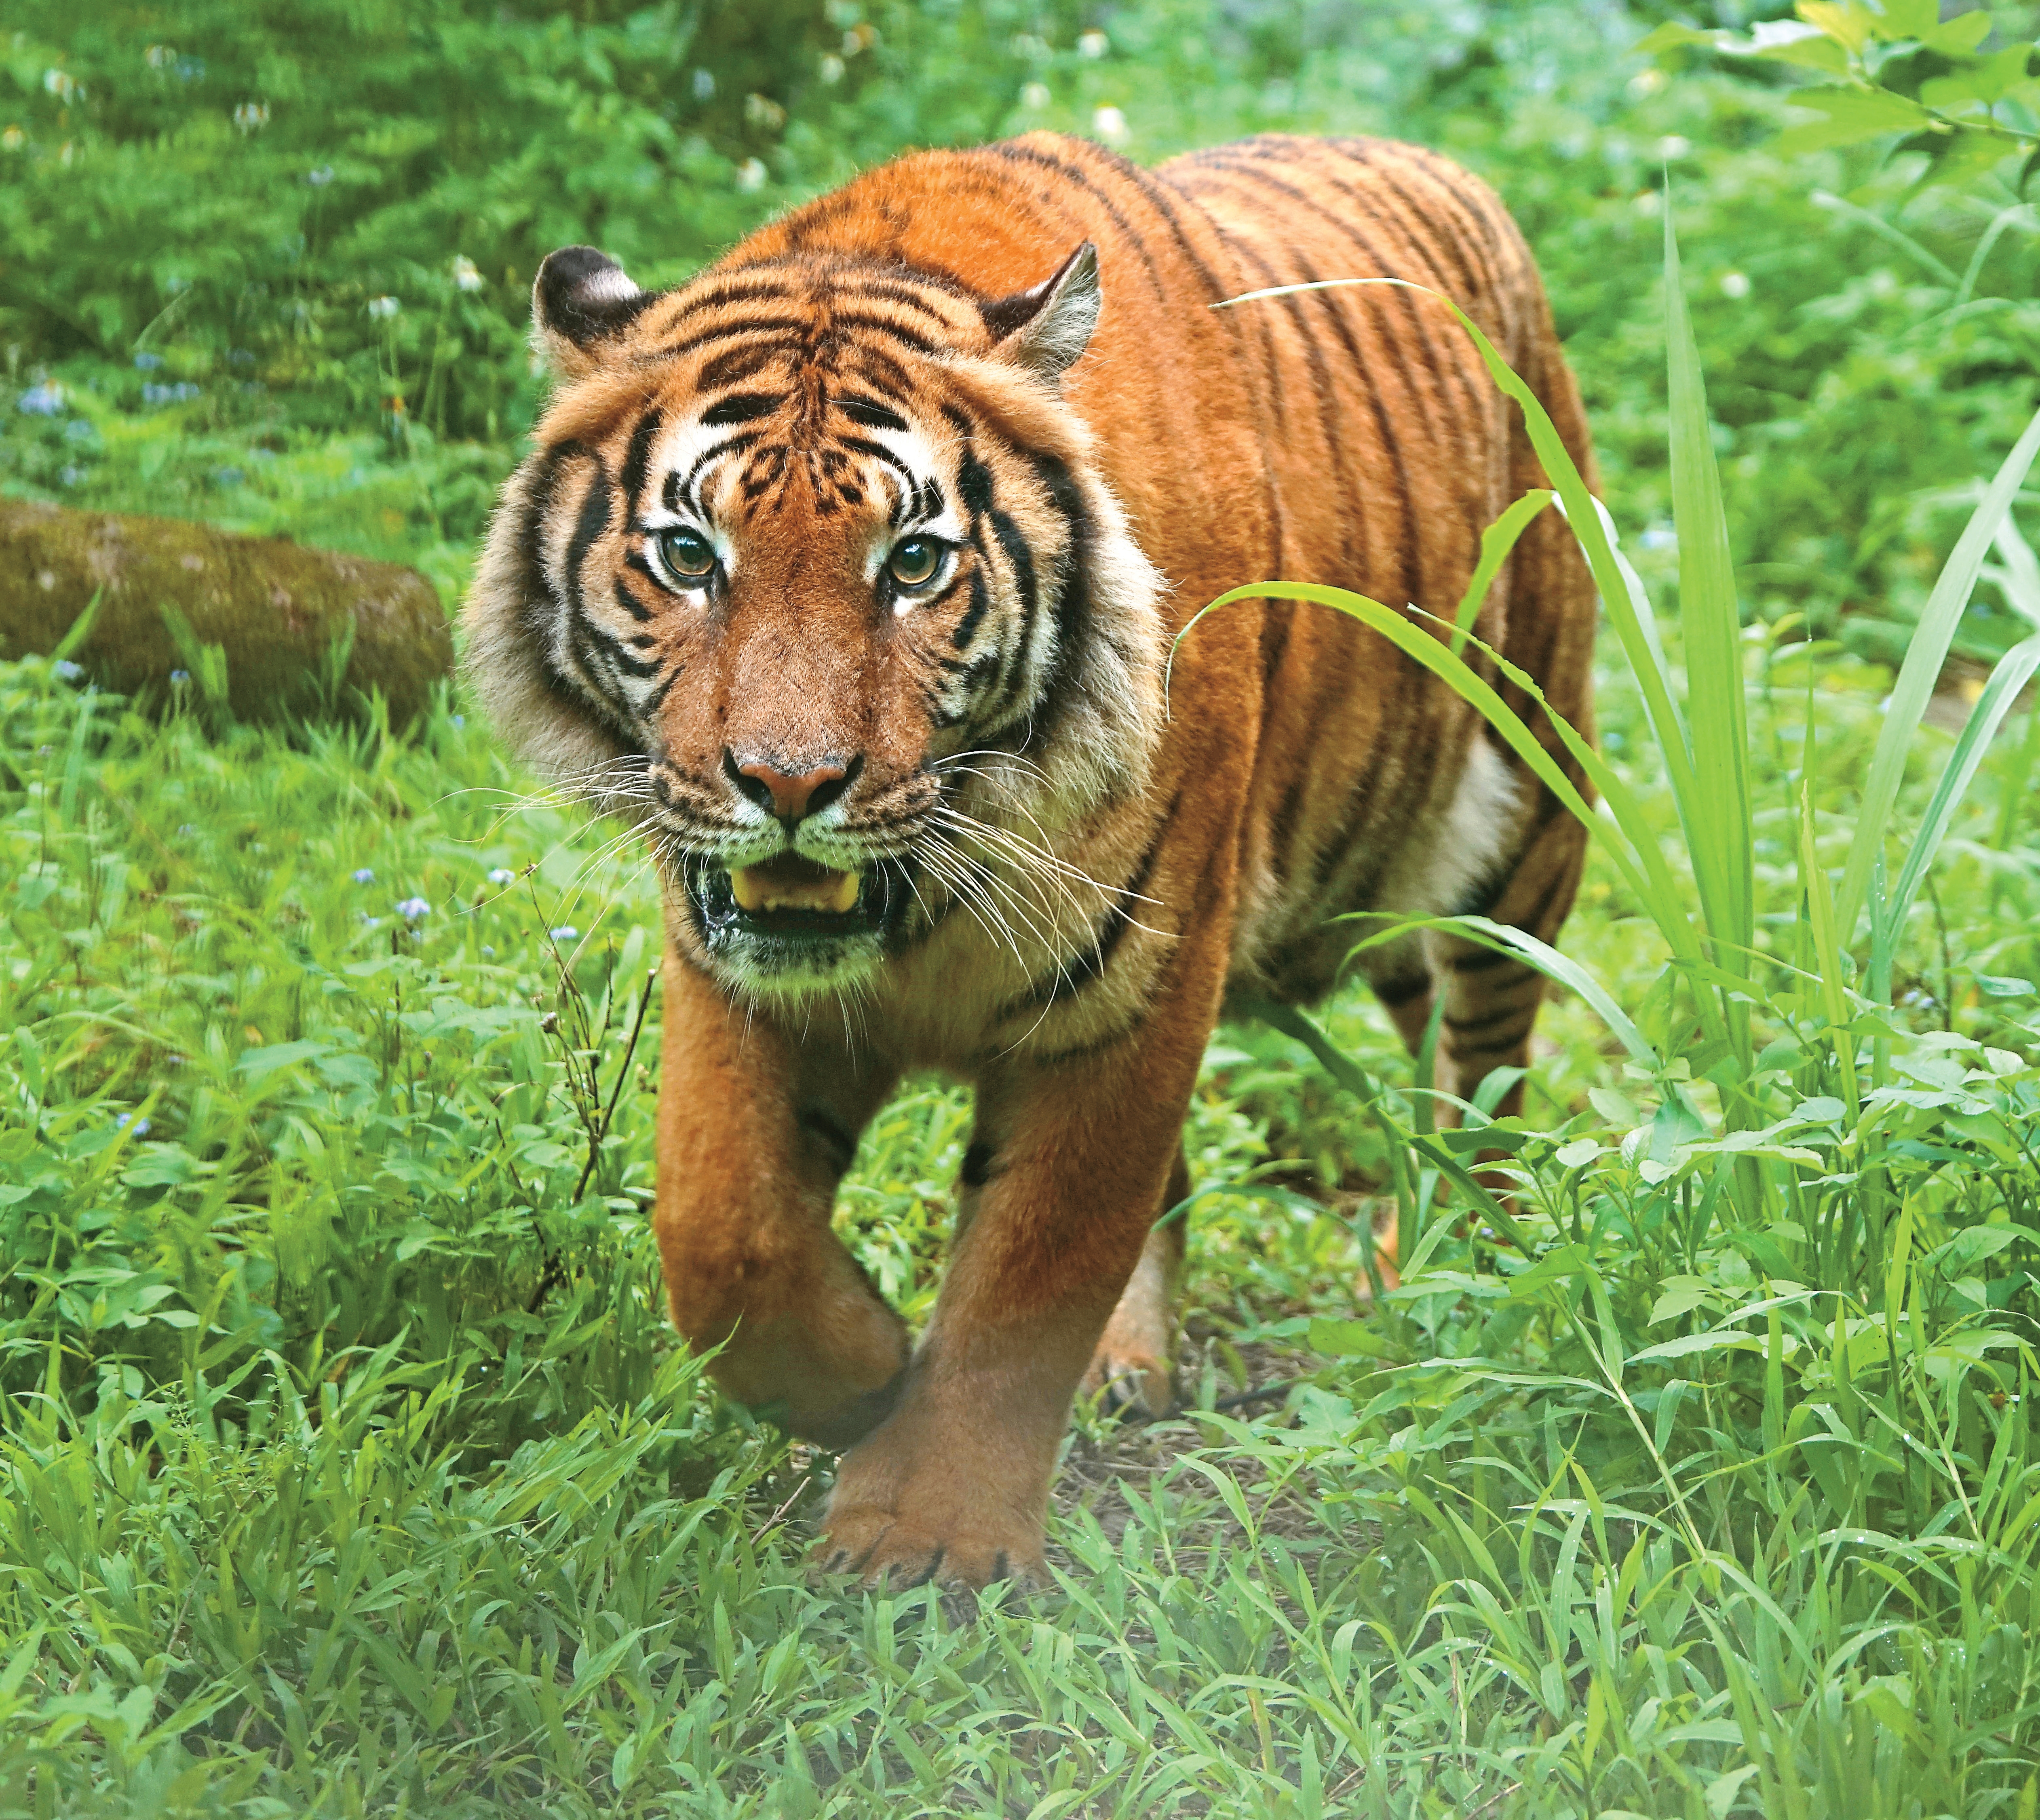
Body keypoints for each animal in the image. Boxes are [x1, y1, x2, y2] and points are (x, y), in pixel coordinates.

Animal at [464, 130, 1597, 1592]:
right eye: (685, 554)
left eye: (912, 563)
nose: (788, 785)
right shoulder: (733, 977)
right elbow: (720, 1235)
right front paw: (864, 1374)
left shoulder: (1132, 990)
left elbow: (1031, 1270)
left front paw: (924, 1535)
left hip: (1520, 813)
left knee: (1481, 1078)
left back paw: (1456, 1274)